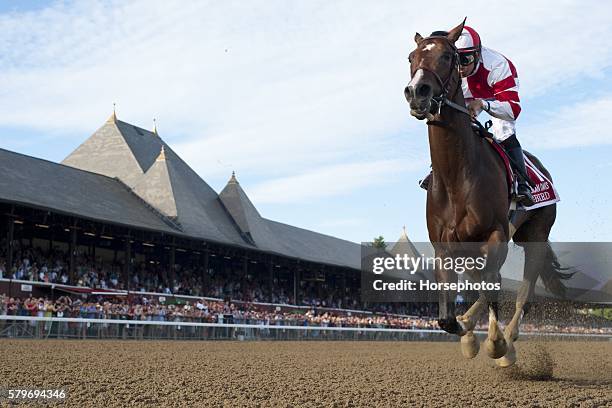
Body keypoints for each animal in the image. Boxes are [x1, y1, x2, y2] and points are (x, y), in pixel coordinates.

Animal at [404, 19, 572, 366]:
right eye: (411, 57)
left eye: (448, 56)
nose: (416, 92)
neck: (457, 177)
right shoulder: (444, 247)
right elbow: (446, 318)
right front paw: (467, 333)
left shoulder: (496, 236)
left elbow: (494, 287)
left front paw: (496, 344)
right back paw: (471, 323)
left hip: (534, 235)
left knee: (523, 292)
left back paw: (508, 340)